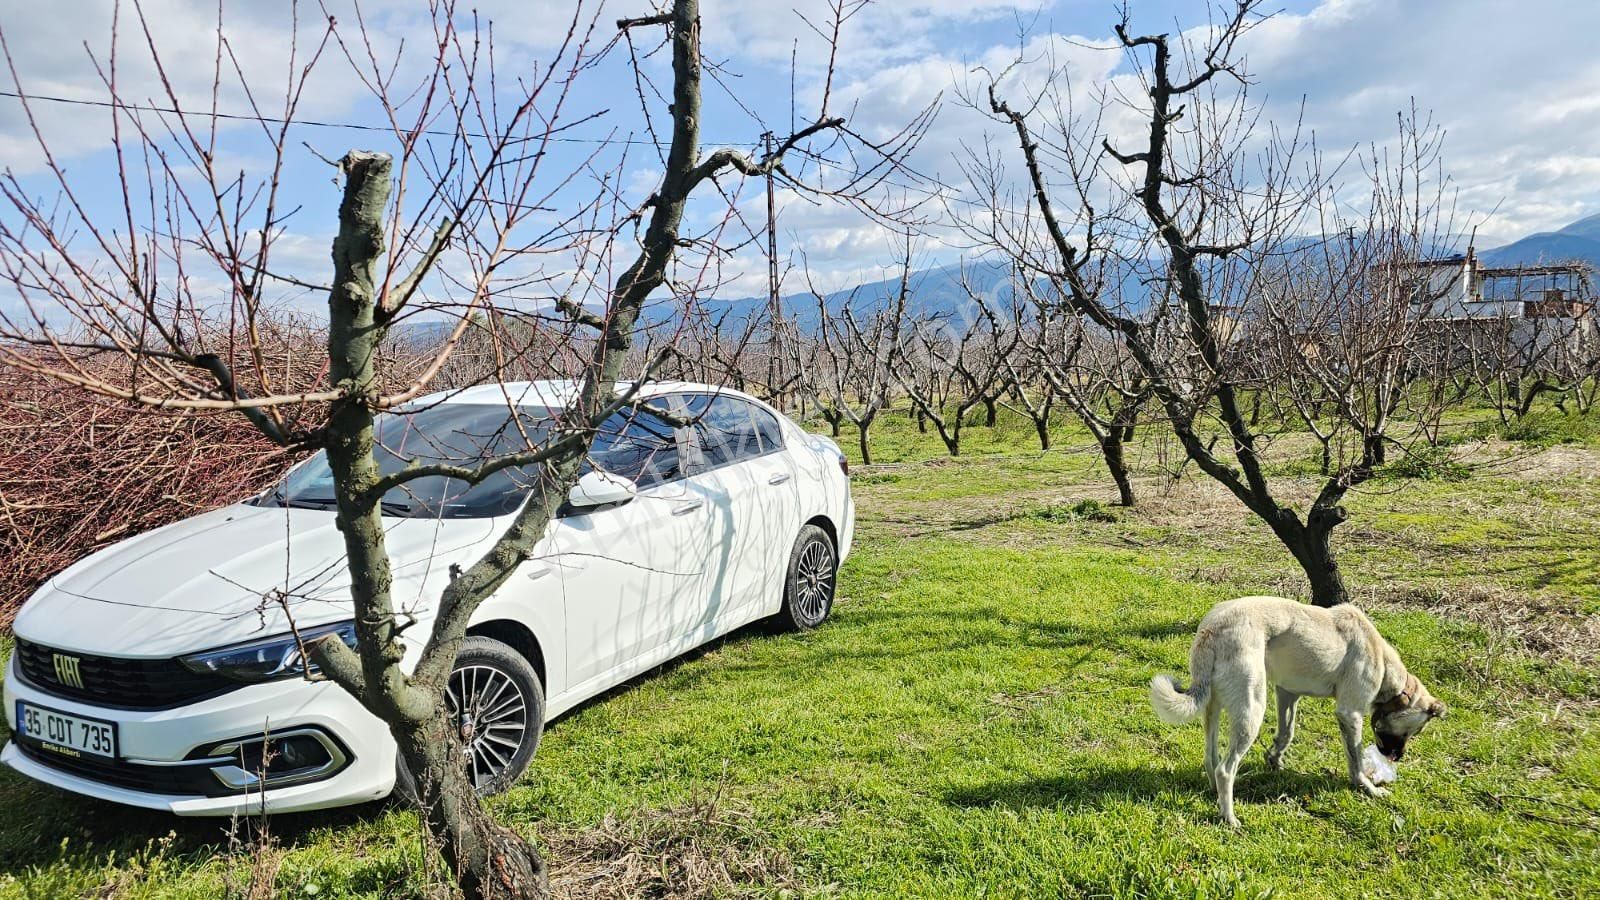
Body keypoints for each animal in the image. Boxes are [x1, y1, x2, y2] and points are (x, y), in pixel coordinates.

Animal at [1152, 592, 1452, 826]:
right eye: (1414, 731)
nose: (1396, 757)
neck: (1384, 663)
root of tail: (1212, 628)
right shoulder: (1350, 714)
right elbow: (1354, 759)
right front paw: (1367, 788)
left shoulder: (1287, 693)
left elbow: (1287, 733)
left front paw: (1275, 760)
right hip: (1252, 710)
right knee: (1226, 769)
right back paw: (1229, 817)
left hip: (1212, 707)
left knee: (1211, 758)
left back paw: (1214, 791)